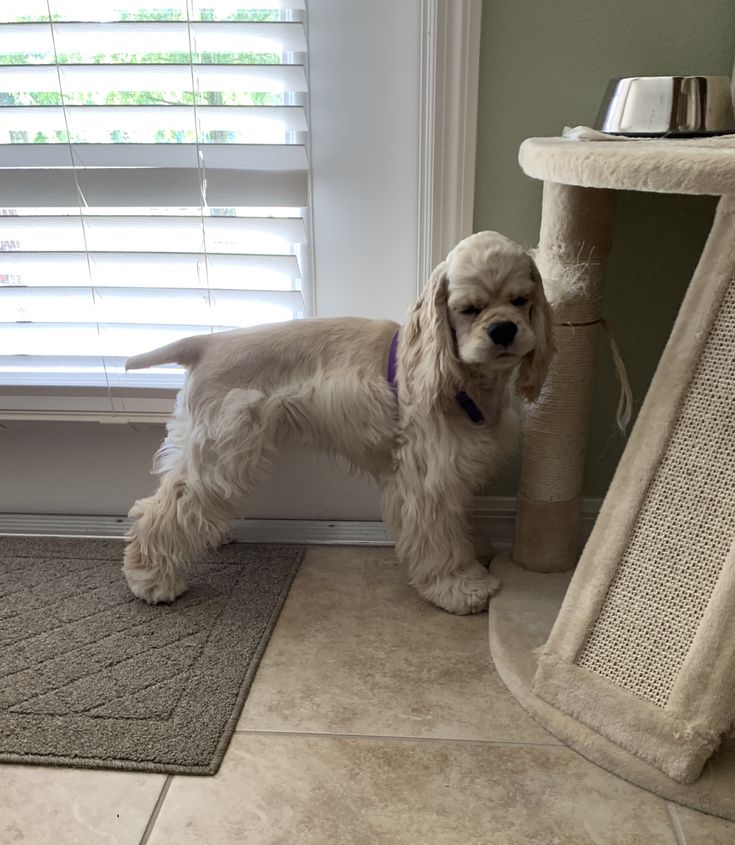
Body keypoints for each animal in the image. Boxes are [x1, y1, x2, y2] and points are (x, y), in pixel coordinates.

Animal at [125, 231, 552, 612]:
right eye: (469, 309)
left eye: (521, 301)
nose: (503, 329)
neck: (469, 379)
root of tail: (207, 342)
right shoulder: (428, 476)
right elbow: (440, 537)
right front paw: (460, 586)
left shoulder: (458, 465)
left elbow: (459, 517)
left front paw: (477, 548)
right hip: (222, 453)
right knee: (161, 510)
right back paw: (151, 578)